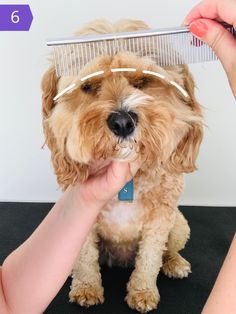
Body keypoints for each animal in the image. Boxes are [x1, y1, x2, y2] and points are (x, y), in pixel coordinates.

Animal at [41, 19, 204, 312]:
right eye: (88, 86)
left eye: (142, 81)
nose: (122, 122)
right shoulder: (81, 218)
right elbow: (85, 259)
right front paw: (86, 288)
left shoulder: (159, 220)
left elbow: (150, 259)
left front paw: (143, 292)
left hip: (178, 224)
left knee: (169, 251)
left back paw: (175, 263)